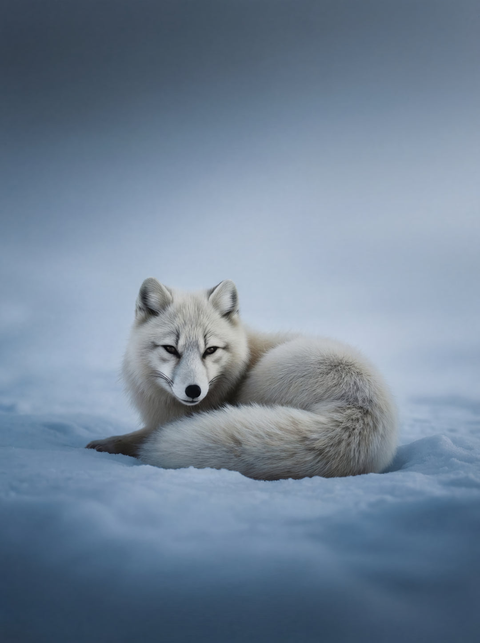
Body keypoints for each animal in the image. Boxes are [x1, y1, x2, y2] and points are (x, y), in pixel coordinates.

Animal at [86, 278, 398, 480]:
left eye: (210, 350)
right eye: (171, 349)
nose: (193, 390)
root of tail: (358, 410)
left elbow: (138, 438)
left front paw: (106, 445)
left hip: (265, 377)